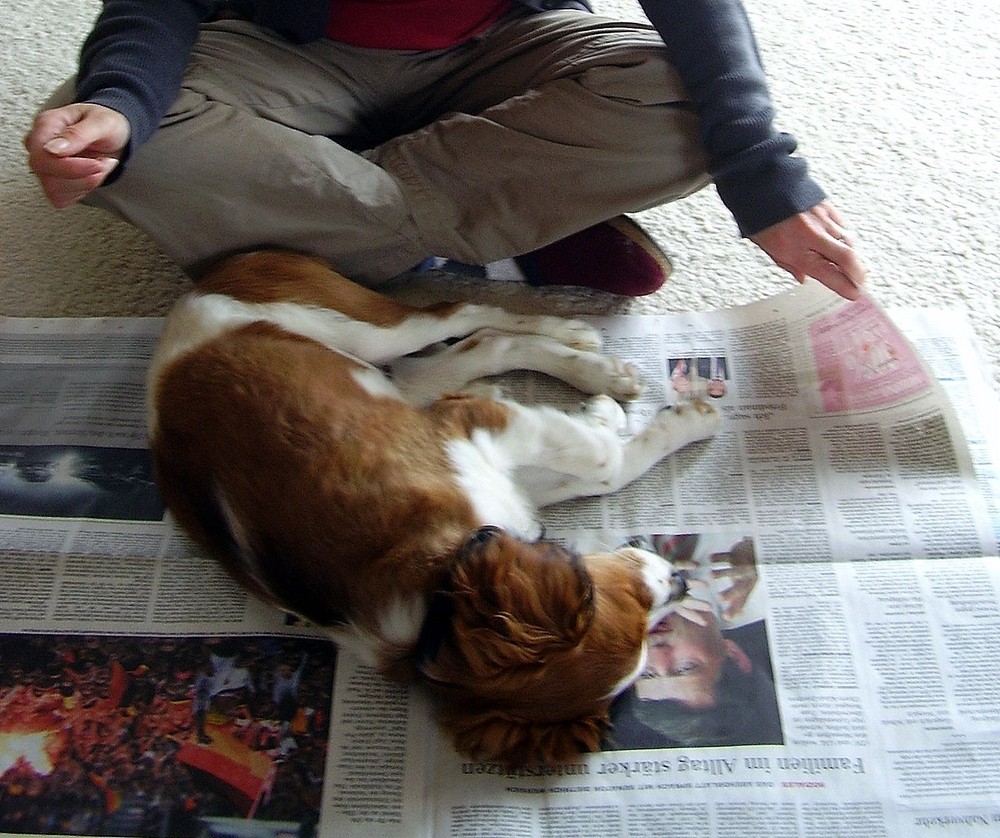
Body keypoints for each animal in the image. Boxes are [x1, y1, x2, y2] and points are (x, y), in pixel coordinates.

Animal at [146, 249, 720, 768]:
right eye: (628, 607)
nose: (682, 582)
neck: (439, 598)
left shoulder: (468, 434)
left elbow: (599, 463)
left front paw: (624, 415)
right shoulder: (470, 433)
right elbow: (605, 462)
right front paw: (655, 420)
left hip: (373, 344)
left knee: (468, 323)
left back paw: (586, 350)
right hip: (377, 349)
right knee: (470, 330)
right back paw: (592, 363)